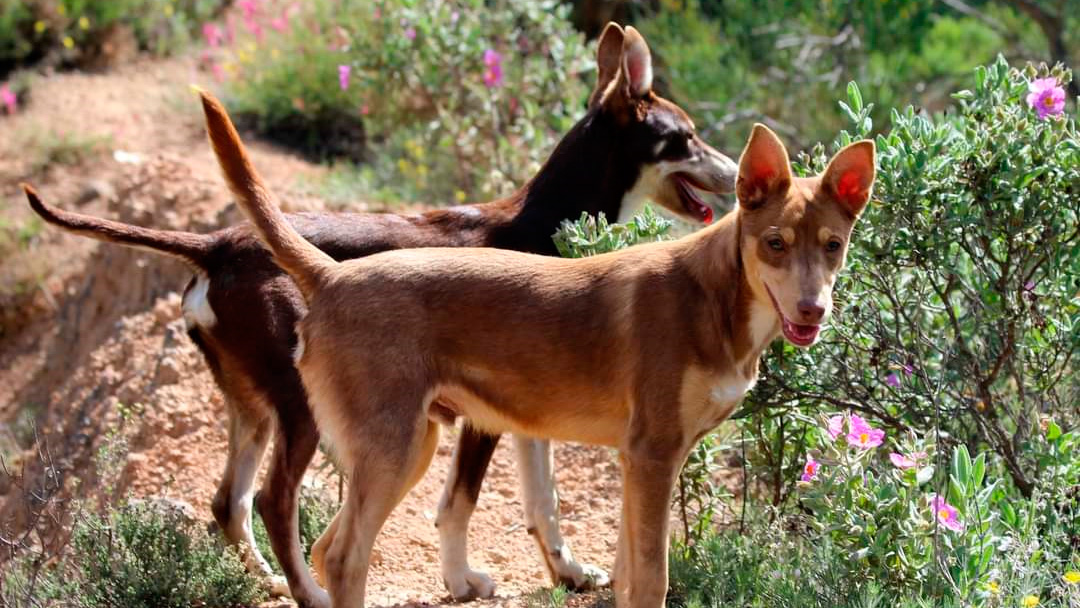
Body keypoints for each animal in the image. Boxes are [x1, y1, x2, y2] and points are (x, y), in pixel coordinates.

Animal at [203, 79, 872, 604]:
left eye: (833, 245)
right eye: (775, 243)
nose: (813, 308)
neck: (715, 296)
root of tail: (332, 275)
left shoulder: (641, 460)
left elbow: (629, 579)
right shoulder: (653, 455)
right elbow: (652, 580)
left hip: (406, 445)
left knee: (321, 546)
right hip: (390, 446)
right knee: (337, 555)